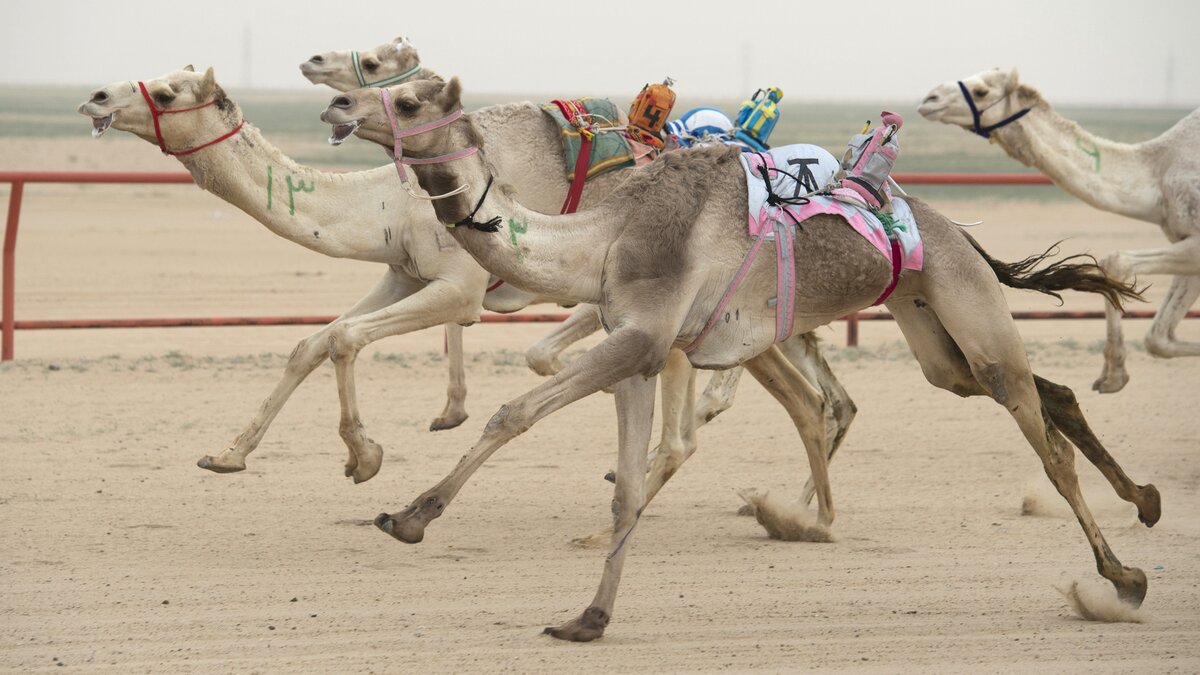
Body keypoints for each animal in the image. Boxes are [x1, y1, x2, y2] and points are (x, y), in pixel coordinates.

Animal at [328, 76, 1161, 638]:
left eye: (409, 99)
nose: (337, 107)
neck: (609, 235)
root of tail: (954, 228)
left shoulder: (643, 337)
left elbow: (515, 412)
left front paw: (408, 515)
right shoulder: (639, 347)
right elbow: (626, 484)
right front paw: (588, 617)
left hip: (968, 304)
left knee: (1043, 438)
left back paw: (1122, 577)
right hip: (932, 330)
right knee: (1034, 392)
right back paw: (1146, 501)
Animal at [916, 65, 1200, 391]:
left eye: (981, 91)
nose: (929, 98)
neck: (1156, 174)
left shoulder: (1195, 242)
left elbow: (1117, 261)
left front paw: (1113, 375)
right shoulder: (1185, 241)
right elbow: (1158, 338)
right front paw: (1113, 375)